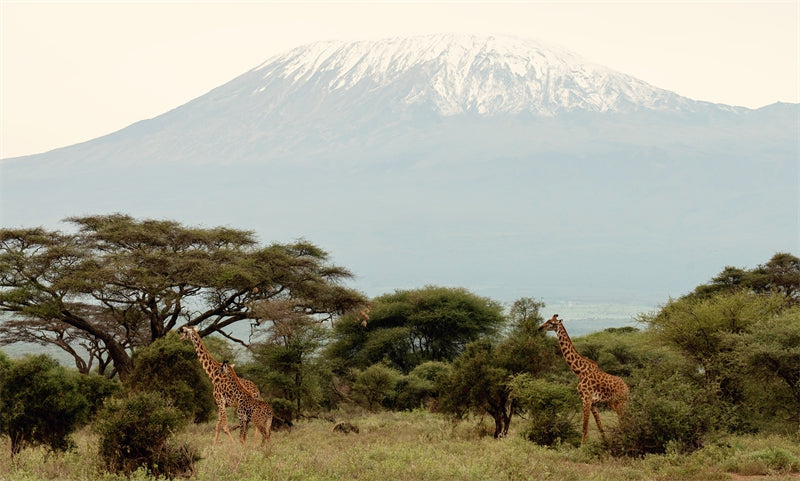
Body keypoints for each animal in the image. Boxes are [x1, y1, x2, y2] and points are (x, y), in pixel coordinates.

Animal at [540, 314, 628, 444]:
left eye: (551, 322)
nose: (540, 328)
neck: (579, 372)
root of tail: (627, 389)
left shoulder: (586, 399)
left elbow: (584, 427)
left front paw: (581, 448)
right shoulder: (593, 403)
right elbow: (600, 427)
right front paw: (605, 444)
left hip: (619, 403)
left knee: (624, 420)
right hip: (615, 403)